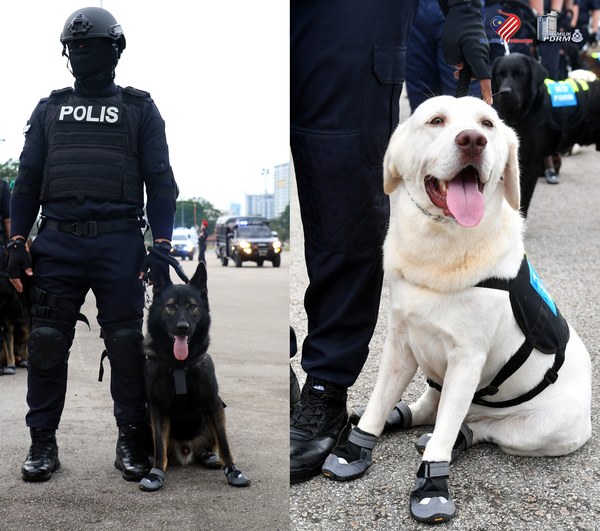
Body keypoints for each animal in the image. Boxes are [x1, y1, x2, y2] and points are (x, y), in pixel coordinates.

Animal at [139, 262, 251, 494]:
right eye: (171, 306)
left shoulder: (213, 403)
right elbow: (159, 446)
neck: (180, 364)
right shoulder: (157, 407)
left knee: (212, 443)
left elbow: (224, 443)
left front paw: (233, 471)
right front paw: (156, 473)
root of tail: (185, 449)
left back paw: (209, 456)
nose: (183, 327)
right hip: (146, 420)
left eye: (192, 306)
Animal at [322, 95, 592, 524]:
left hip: (545, 427)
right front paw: (356, 446)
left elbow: (447, 431)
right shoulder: (400, 341)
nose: (472, 141)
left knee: (473, 427)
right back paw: (405, 416)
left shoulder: (467, 360)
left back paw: (457, 435)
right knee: (431, 406)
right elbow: (379, 402)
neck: (440, 251)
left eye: (488, 124)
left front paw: (432, 486)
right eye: (436, 121)